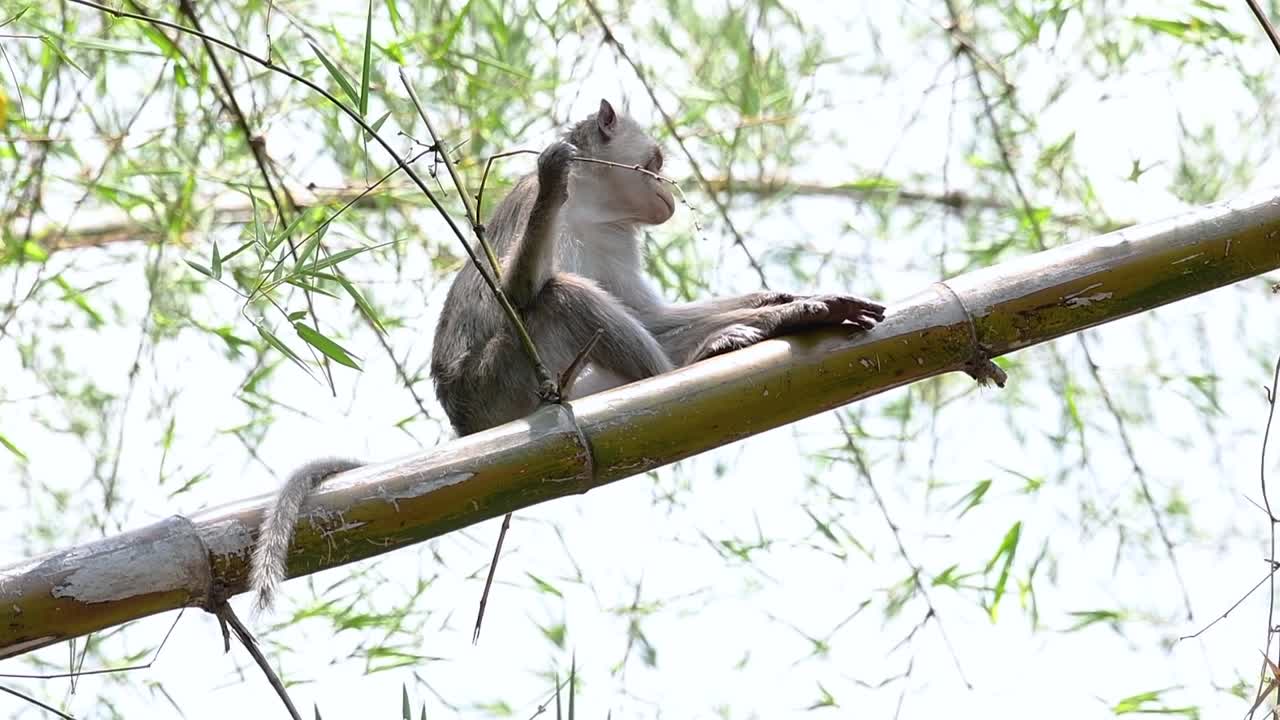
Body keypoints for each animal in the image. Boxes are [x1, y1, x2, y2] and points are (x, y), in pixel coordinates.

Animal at [247, 99, 885, 612]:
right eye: (656, 162)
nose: (669, 192)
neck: (594, 207)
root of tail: (465, 426)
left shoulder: (618, 236)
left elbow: (651, 316)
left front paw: (780, 302)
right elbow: (517, 292)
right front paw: (554, 178)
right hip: (501, 383)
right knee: (561, 295)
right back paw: (689, 364)